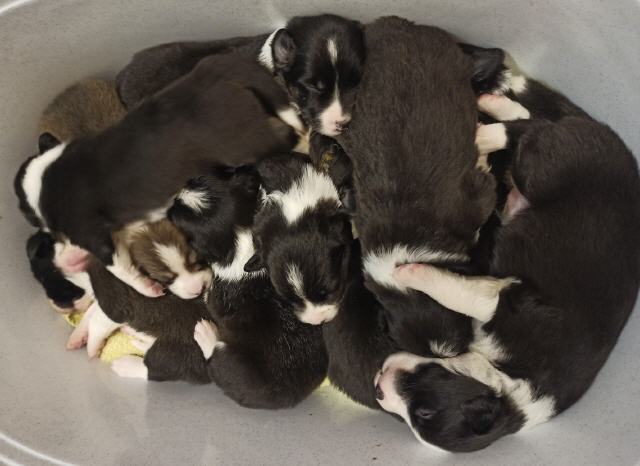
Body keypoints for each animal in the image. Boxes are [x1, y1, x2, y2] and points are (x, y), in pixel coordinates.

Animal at [14, 54, 300, 270]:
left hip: (246, 142)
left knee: (284, 133)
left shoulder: (95, 238)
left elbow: (120, 267)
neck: (46, 178)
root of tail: (218, 75)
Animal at [375, 93, 640, 451]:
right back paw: (490, 111)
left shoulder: (503, 303)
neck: (511, 394)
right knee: (530, 125)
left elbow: (459, 292)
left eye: (424, 414)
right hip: (543, 166)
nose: (377, 389)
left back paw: (483, 134)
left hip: (542, 169)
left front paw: (410, 273)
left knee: (529, 131)